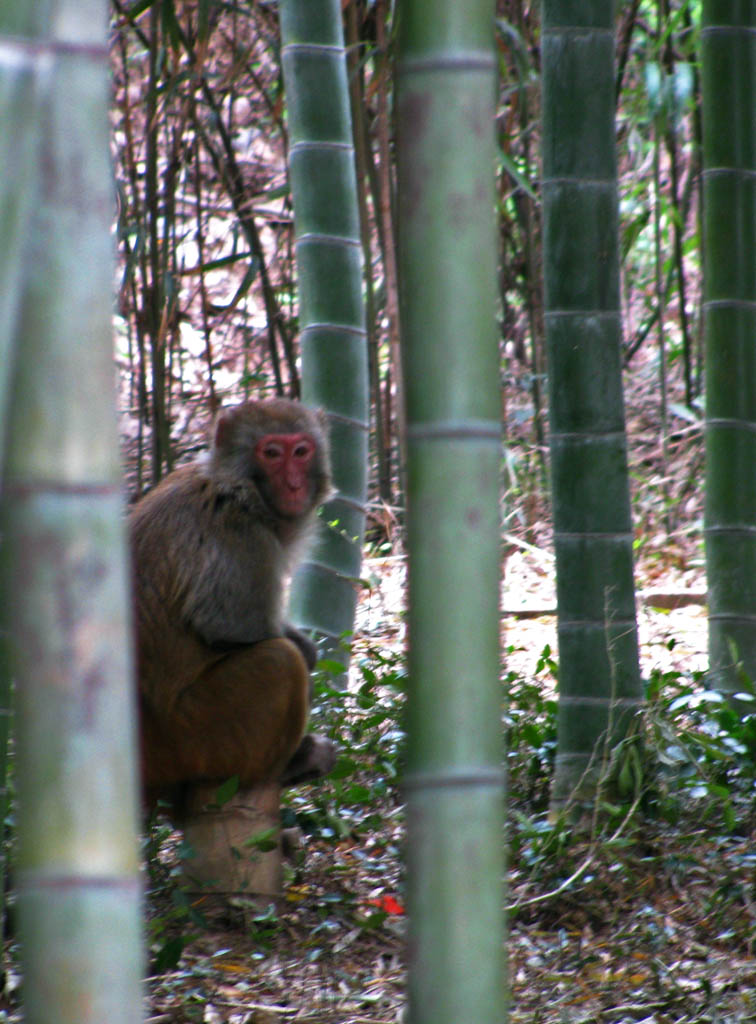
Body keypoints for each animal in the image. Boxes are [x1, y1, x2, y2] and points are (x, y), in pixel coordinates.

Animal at [131, 395, 338, 811]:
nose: (293, 484)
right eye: (271, 453)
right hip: (194, 734)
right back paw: (286, 765)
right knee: (279, 662)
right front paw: (305, 651)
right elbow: (230, 627)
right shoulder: (238, 535)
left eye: (301, 451)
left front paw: (305, 641)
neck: (241, 488)